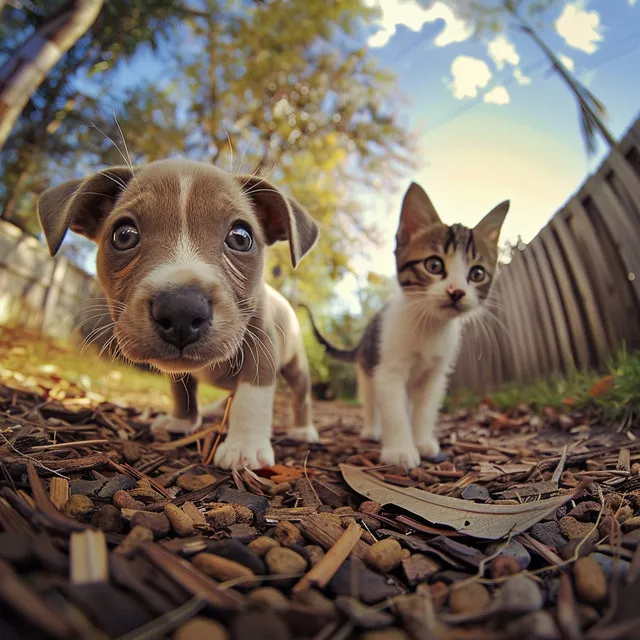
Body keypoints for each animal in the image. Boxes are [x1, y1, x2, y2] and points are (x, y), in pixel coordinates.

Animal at [38, 159, 318, 470]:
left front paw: (244, 447)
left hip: (296, 366)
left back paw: (303, 430)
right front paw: (182, 422)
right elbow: (181, 391)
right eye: (124, 235)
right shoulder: (178, 372)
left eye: (241, 238)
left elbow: (252, 398)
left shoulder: (261, 348)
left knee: (301, 396)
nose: (181, 310)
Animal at [304, 182, 510, 468]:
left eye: (477, 273)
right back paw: (372, 430)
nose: (456, 291)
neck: (429, 326)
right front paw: (400, 451)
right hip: (368, 366)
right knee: (371, 400)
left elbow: (424, 411)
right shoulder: (388, 370)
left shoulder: (434, 375)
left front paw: (422, 442)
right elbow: (394, 412)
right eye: (434, 265)